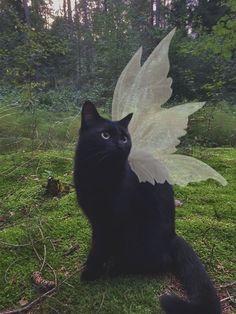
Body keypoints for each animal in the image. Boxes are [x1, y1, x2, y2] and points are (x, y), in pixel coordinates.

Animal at [74, 101, 222, 314]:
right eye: (105, 135)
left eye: (124, 138)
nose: (120, 145)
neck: (97, 173)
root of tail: (173, 237)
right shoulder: (96, 219)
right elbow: (97, 243)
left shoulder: (111, 220)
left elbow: (100, 246)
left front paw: (91, 272)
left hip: (138, 233)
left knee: (159, 261)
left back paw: (118, 267)